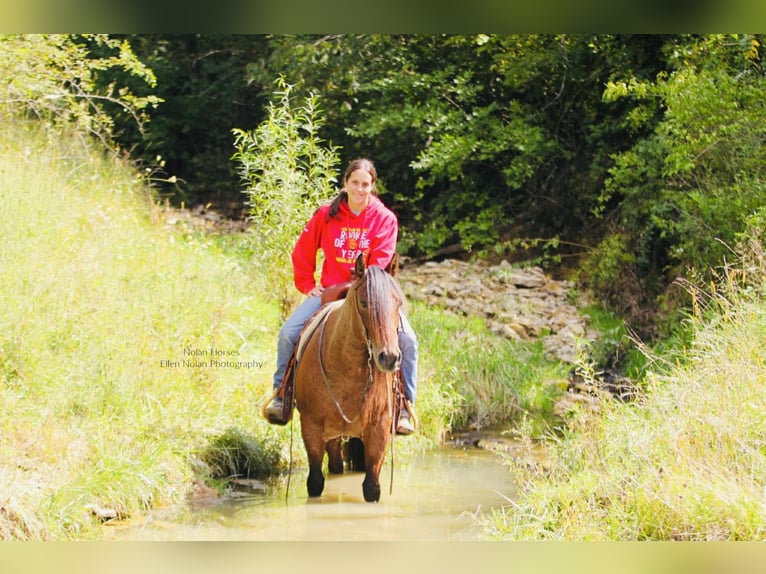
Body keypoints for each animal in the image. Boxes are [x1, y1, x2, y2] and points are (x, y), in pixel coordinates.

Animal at [293, 253, 404, 502]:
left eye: (398, 303)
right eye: (364, 303)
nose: (389, 357)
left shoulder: (379, 429)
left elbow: (372, 487)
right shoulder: (311, 427)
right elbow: (315, 482)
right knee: (335, 467)